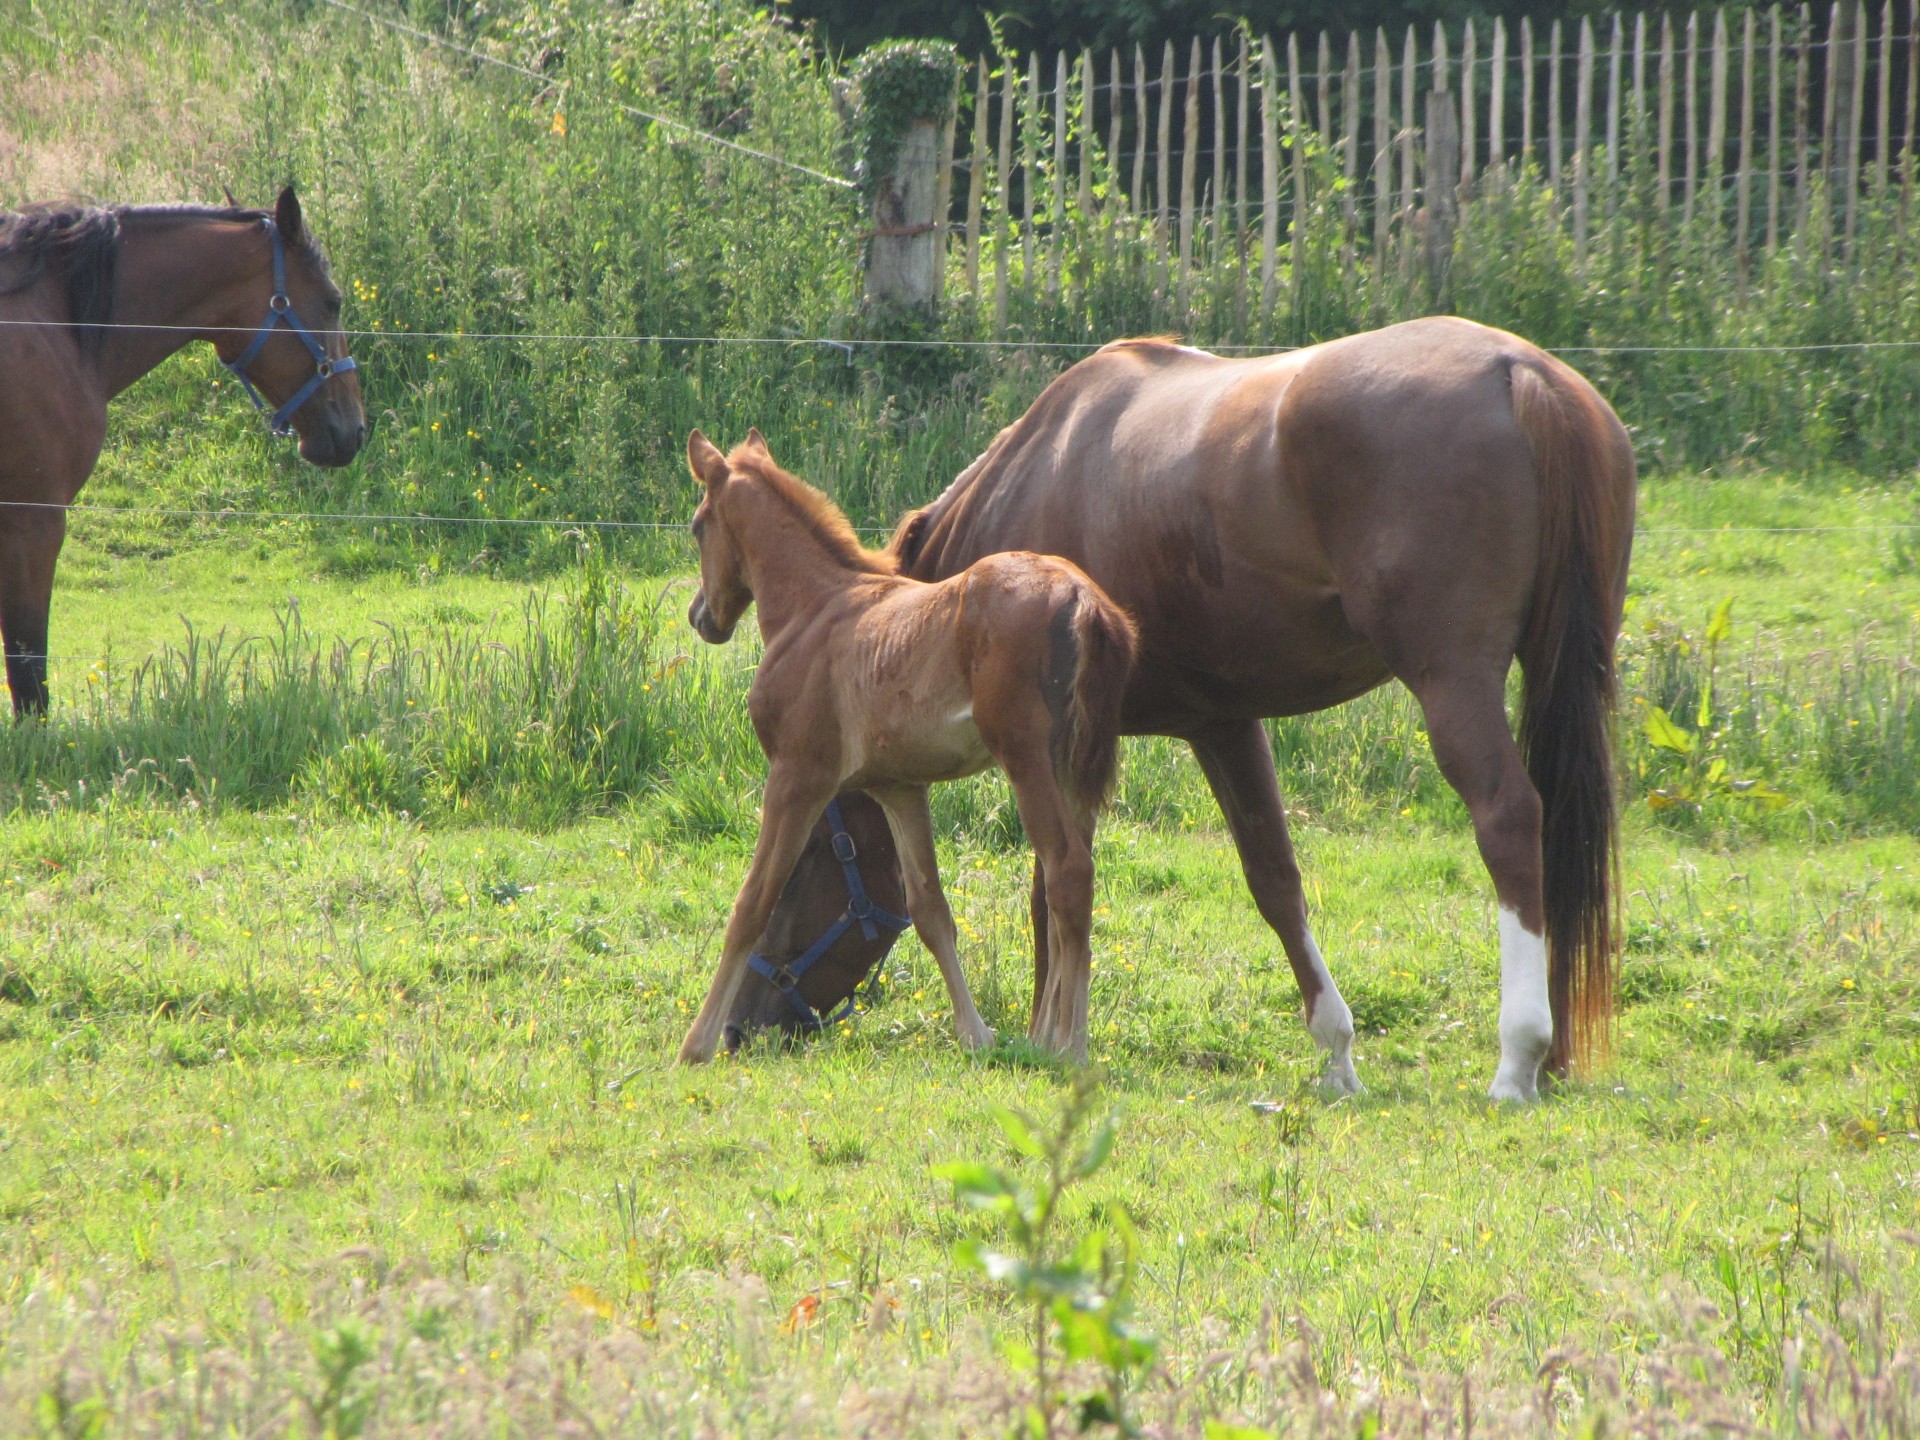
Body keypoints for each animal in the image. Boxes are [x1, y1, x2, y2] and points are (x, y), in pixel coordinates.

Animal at [679, 428, 1136, 1075]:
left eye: (699, 526)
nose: (703, 617)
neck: (815, 610)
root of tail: (1082, 599)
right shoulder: (899, 787)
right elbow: (930, 910)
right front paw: (976, 1035)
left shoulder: (797, 776)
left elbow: (750, 904)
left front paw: (694, 1044)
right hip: (1071, 769)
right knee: (1067, 880)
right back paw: (1048, 1036)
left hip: (1028, 761)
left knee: (1067, 871)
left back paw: (1067, 1044)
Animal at [737, 318, 1635, 1105]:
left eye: (806, 863)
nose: (751, 1024)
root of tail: (1520, 373)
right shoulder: (1221, 725)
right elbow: (1273, 879)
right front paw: (1336, 1054)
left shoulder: (1055, 748)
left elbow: (1051, 884)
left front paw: (1046, 1037)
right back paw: (1554, 1052)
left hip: (1455, 683)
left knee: (1510, 818)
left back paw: (1517, 1059)